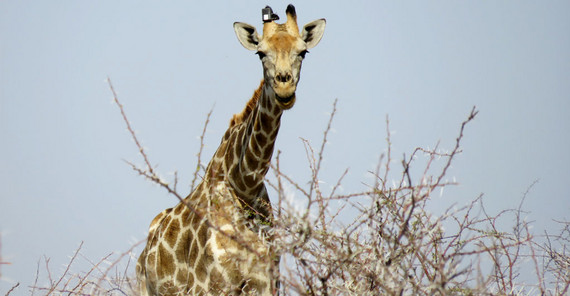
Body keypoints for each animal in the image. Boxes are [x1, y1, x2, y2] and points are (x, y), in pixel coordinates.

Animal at [134, 5, 324, 296]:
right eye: (260, 53)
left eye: (303, 52)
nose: (284, 88)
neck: (244, 185)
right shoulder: (206, 286)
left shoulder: (267, 284)